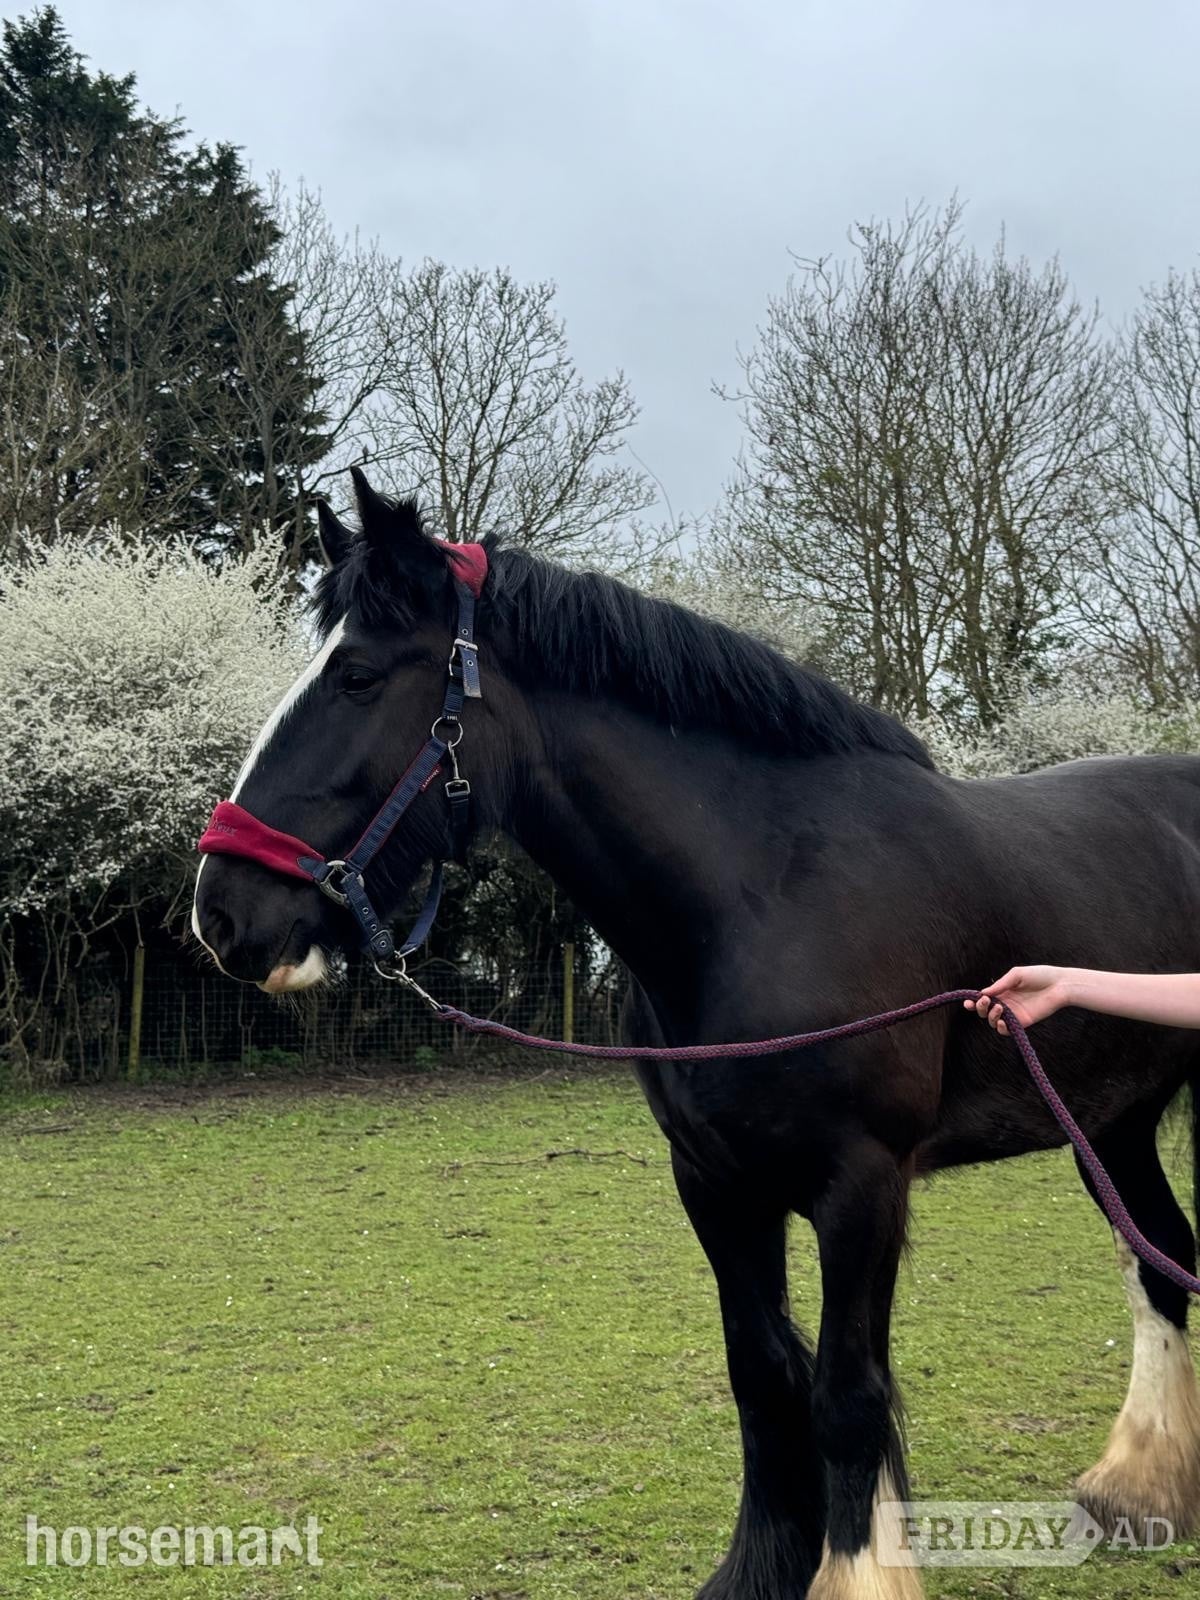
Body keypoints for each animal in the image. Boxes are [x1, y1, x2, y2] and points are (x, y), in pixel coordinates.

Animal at [192, 469, 1200, 1600]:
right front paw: (761, 1568)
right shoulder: (715, 1181)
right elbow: (762, 1378)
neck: (767, 889)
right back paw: (1139, 1485)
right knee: (1163, 1258)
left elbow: (846, 1395)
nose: (221, 912)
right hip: (1113, 1119)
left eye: (359, 676)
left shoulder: (862, 1186)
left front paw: (854, 1572)